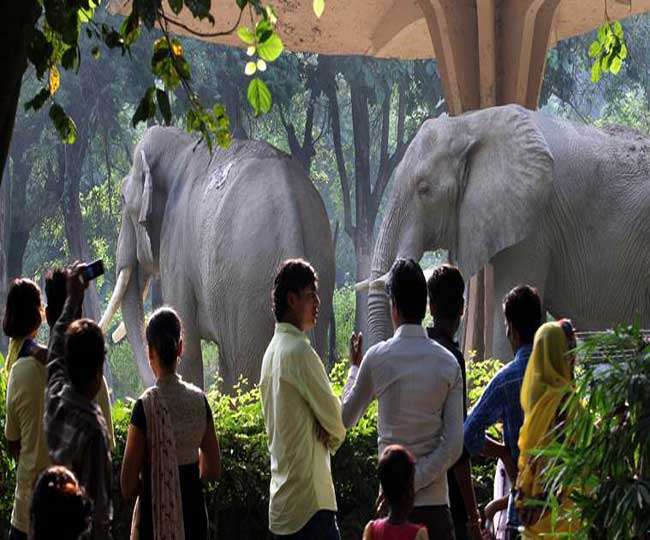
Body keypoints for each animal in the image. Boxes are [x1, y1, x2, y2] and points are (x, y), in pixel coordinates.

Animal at [100, 126, 335, 390]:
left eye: (122, 198)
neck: (182, 144)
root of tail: (290, 208)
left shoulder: (176, 248)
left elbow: (186, 343)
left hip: (248, 290)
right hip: (319, 269)